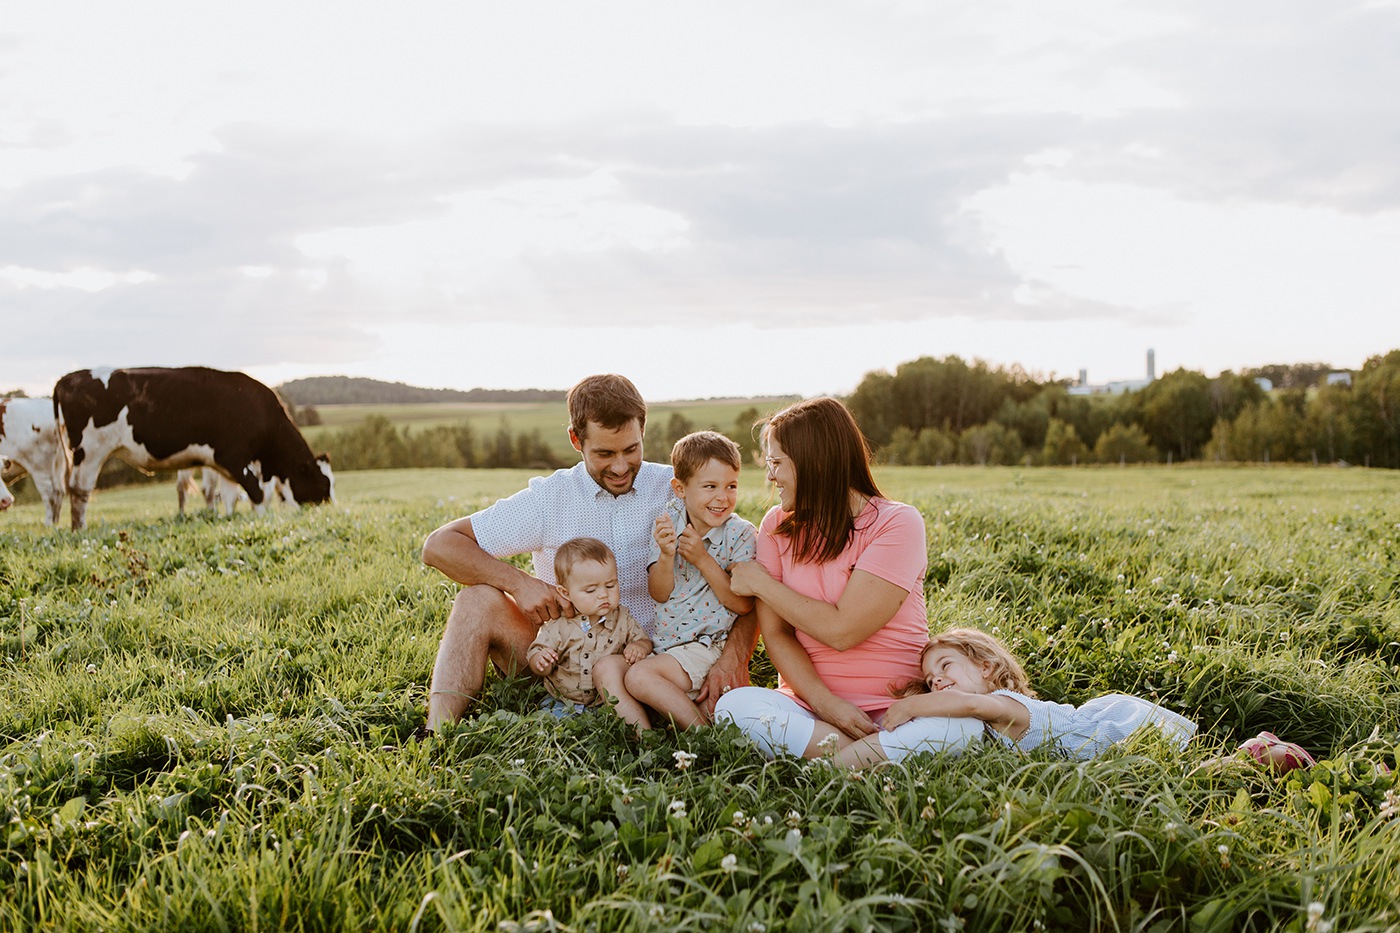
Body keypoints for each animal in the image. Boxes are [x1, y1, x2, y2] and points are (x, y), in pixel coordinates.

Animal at [0, 395, 68, 523]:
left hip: (40, 468)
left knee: (51, 494)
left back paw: (48, 524)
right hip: (57, 465)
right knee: (59, 492)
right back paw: (55, 523)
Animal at [53, 364, 333, 526]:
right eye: (322, 483)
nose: (331, 506)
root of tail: (68, 378)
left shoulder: (224, 466)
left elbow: (229, 496)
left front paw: (229, 518)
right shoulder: (234, 457)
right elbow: (256, 493)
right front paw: (264, 520)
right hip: (90, 451)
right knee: (80, 491)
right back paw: (79, 530)